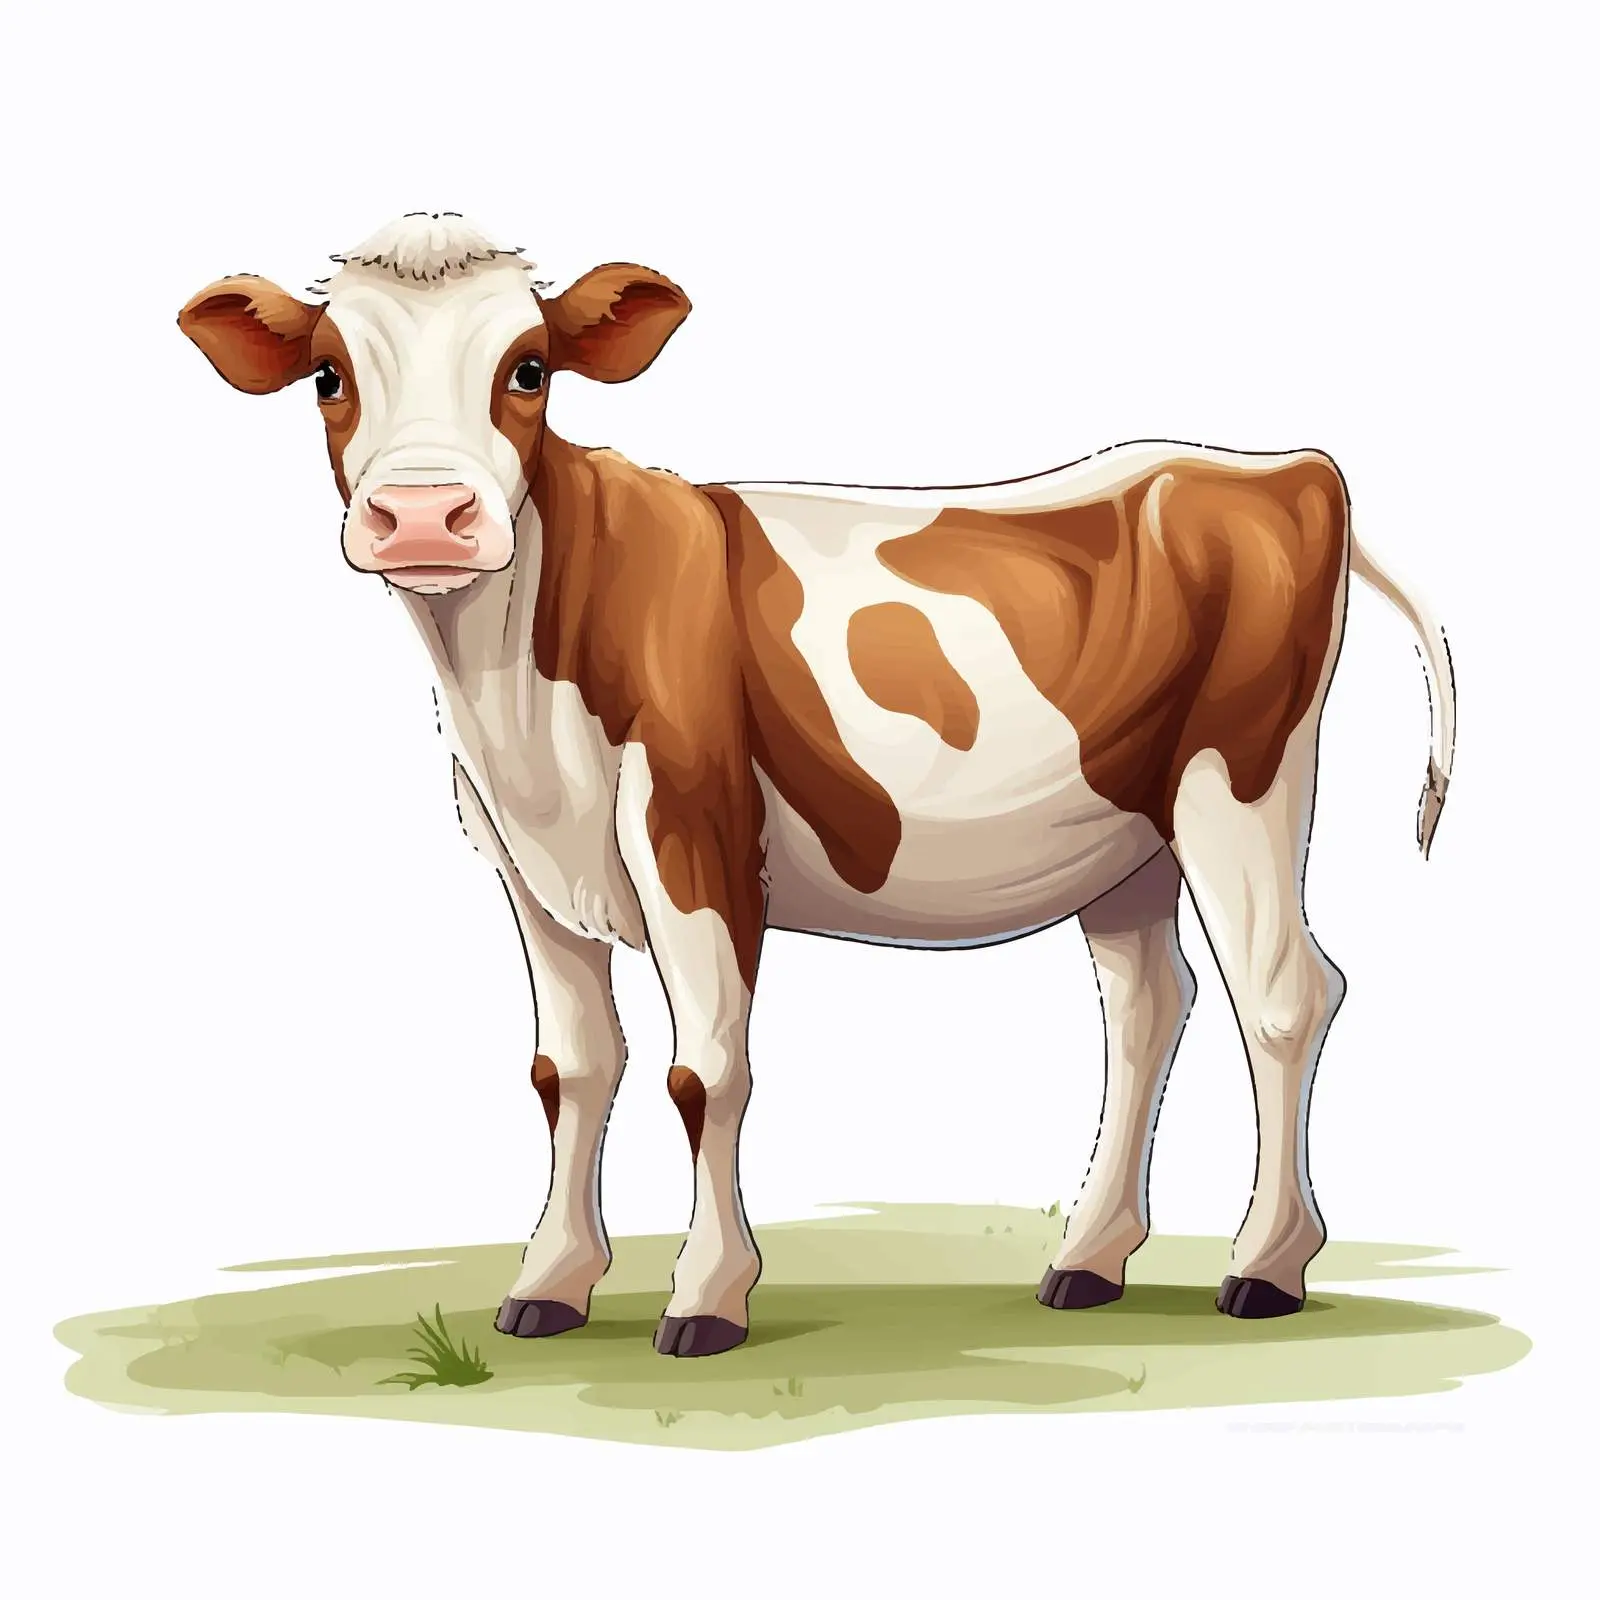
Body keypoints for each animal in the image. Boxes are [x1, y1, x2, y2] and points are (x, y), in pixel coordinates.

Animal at [179, 211, 1456, 1358]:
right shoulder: (525, 863)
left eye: (528, 368)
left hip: (1239, 783)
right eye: (329, 375)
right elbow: (570, 1069)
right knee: (1148, 1005)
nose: (423, 518)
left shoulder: (692, 830)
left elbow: (704, 1071)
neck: (516, 698)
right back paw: (1088, 1261)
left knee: (1284, 996)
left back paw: (1265, 1266)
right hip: (1128, 835)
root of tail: (1272, 466)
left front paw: (706, 1298)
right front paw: (548, 1285)